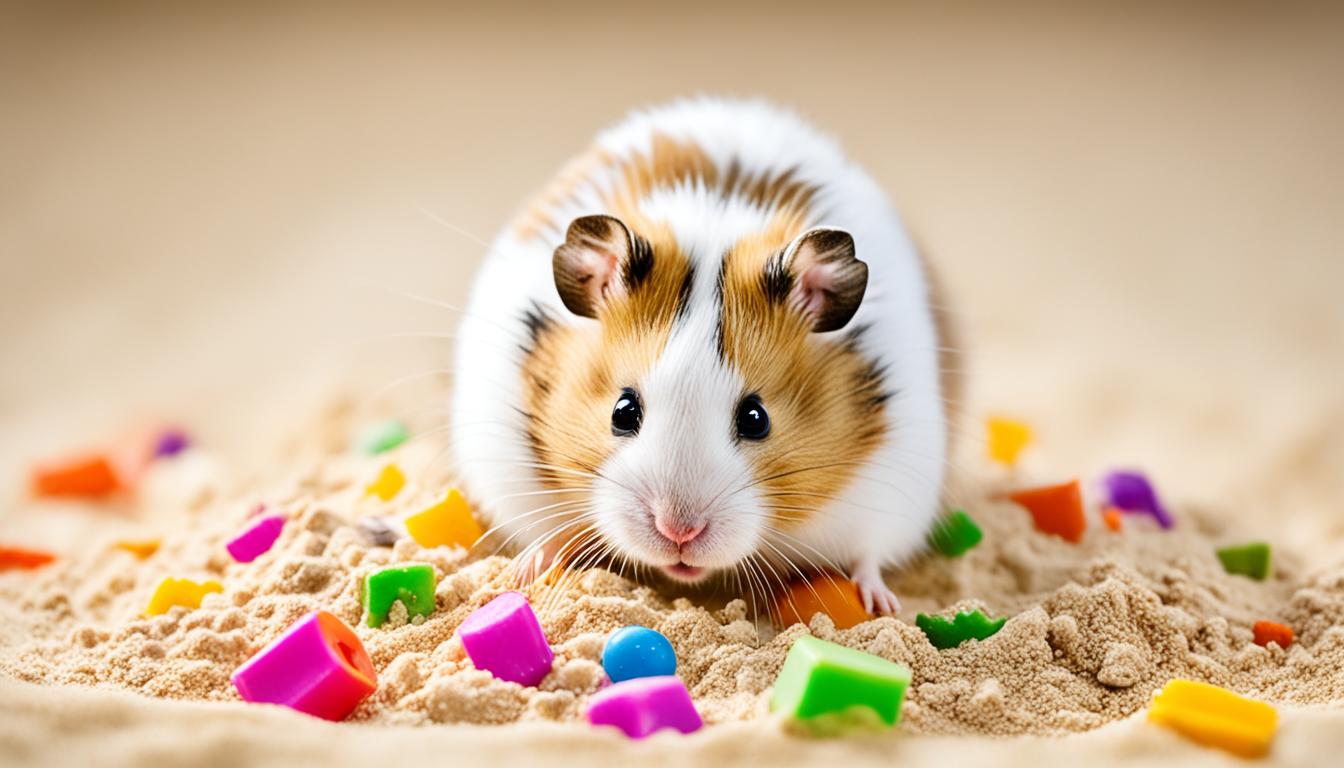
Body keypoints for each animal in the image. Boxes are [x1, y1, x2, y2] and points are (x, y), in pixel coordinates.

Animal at [450, 97, 953, 614]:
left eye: (756, 418)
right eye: (622, 411)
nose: (678, 532)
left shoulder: (892, 485)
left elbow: (868, 554)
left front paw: (881, 604)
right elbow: (544, 532)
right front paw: (524, 570)